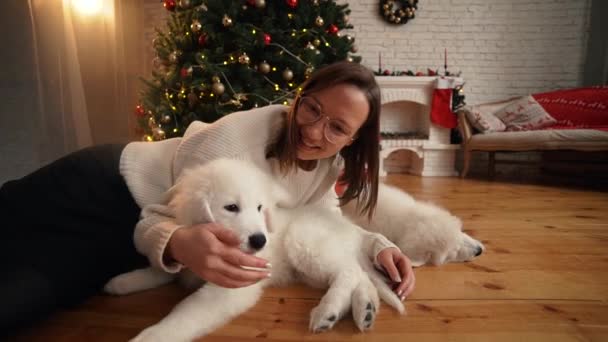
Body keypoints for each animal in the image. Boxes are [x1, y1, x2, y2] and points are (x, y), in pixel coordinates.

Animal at [105, 160, 404, 342]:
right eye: (231, 208)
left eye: (260, 208)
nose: (261, 241)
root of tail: (350, 229)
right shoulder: (190, 254)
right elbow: (162, 269)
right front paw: (121, 282)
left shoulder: (229, 288)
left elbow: (186, 313)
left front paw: (151, 335)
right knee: (362, 278)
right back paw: (365, 309)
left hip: (305, 242)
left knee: (349, 272)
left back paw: (327, 311)